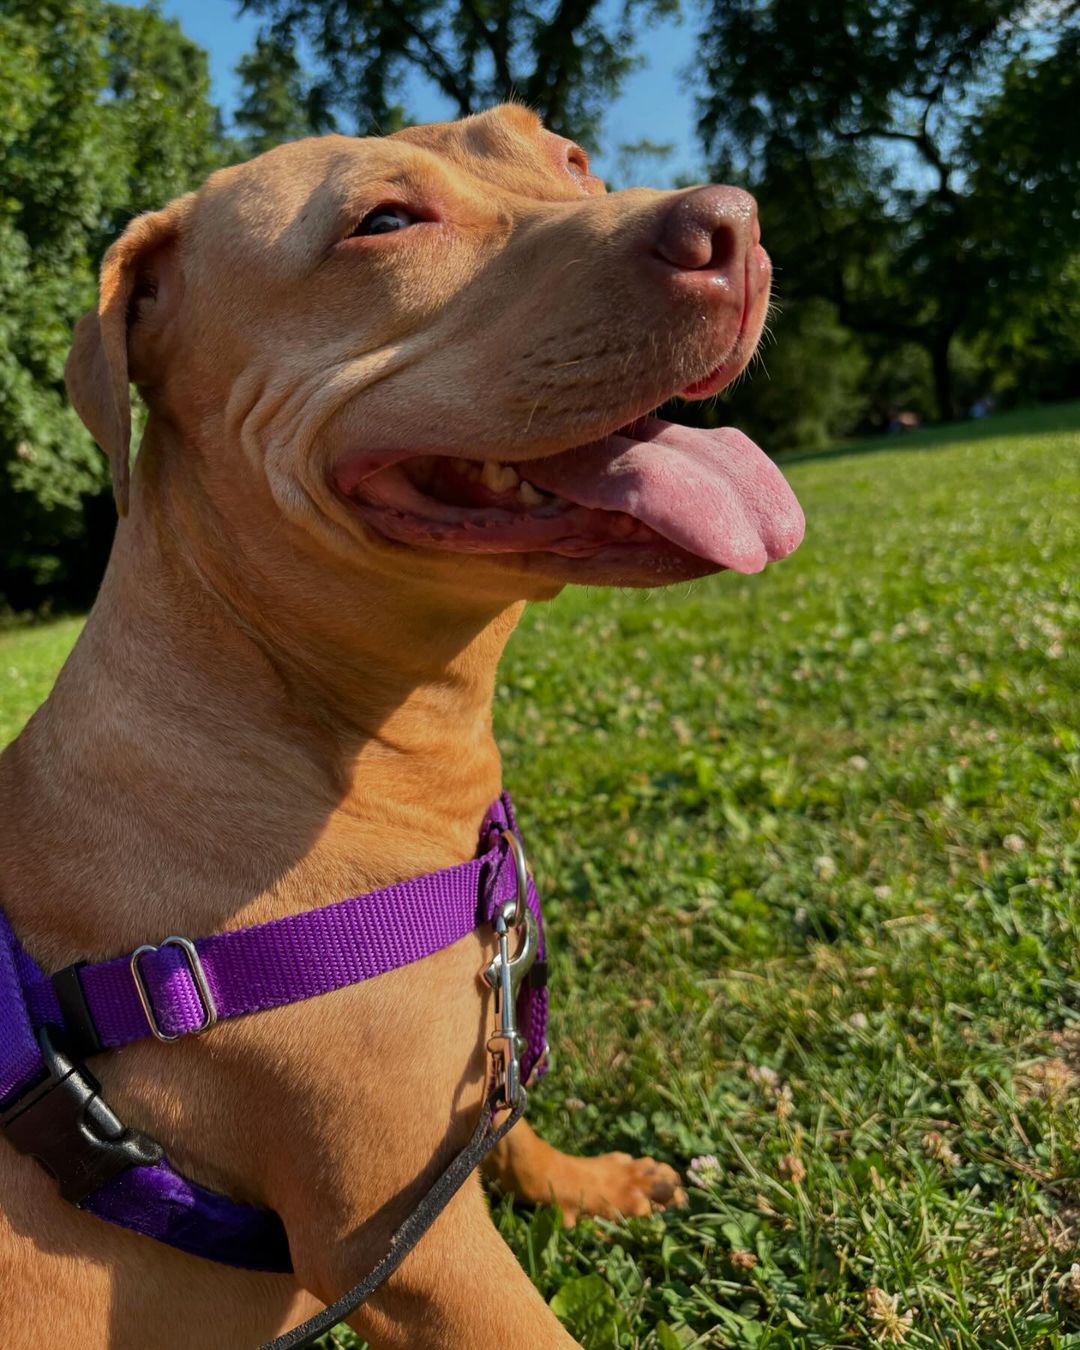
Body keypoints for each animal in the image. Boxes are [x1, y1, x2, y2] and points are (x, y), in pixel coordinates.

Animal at [0, 99, 799, 1344]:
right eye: (382, 222)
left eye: (569, 157)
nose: (738, 225)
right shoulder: (396, 1243)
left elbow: (507, 1124)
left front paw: (587, 1185)